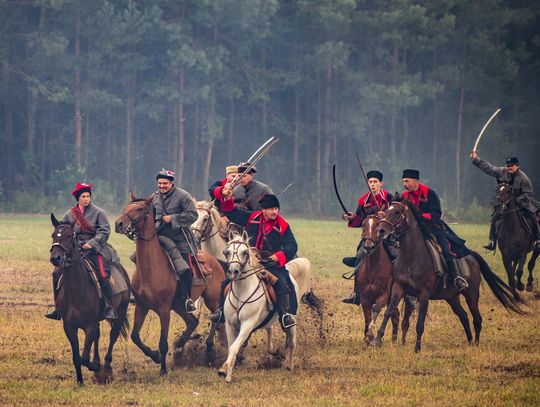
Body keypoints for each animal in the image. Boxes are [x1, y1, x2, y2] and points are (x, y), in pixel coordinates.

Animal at [48, 215, 131, 384]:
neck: (77, 291)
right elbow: (77, 357)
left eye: (69, 236)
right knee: (98, 337)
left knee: (113, 336)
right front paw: (80, 381)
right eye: (53, 235)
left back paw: (106, 368)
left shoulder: (89, 326)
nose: (55, 258)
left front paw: (97, 368)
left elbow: (84, 357)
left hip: (120, 313)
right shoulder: (70, 327)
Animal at [114, 194, 226, 376]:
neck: (150, 268)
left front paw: (163, 370)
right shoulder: (142, 306)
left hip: (211, 299)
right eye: (127, 207)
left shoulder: (164, 309)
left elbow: (163, 342)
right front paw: (155, 356)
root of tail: (215, 261)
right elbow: (135, 337)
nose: (119, 224)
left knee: (216, 318)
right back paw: (180, 345)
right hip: (180, 305)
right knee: (192, 322)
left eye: (140, 209)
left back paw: (209, 347)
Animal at [217, 231, 322, 384]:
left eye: (244, 252)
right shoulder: (230, 325)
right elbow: (232, 347)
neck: (242, 292)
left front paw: (224, 369)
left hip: (292, 321)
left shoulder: (247, 324)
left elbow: (234, 347)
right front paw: (227, 374)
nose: (233, 272)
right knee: (270, 329)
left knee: (292, 343)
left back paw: (290, 366)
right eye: (227, 252)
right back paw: (272, 351)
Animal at [356, 215, 416, 346]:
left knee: (405, 316)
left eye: (378, 226)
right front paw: (367, 337)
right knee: (395, 315)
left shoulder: (384, 296)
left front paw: (371, 336)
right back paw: (393, 339)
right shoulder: (364, 298)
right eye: (363, 225)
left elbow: (375, 310)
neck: (373, 269)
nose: (368, 246)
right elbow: (367, 316)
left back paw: (402, 341)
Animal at [374, 196, 524, 352]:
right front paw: (377, 339)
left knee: (477, 318)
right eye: (386, 210)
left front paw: (417, 349)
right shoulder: (399, 289)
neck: (412, 257)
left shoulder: (424, 295)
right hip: (452, 298)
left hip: (471, 295)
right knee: (464, 316)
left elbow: (420, 323)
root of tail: (472, 256)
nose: (380, 230)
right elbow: (389, 311)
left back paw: (476, 344)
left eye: (397, 212)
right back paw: (470, 341)